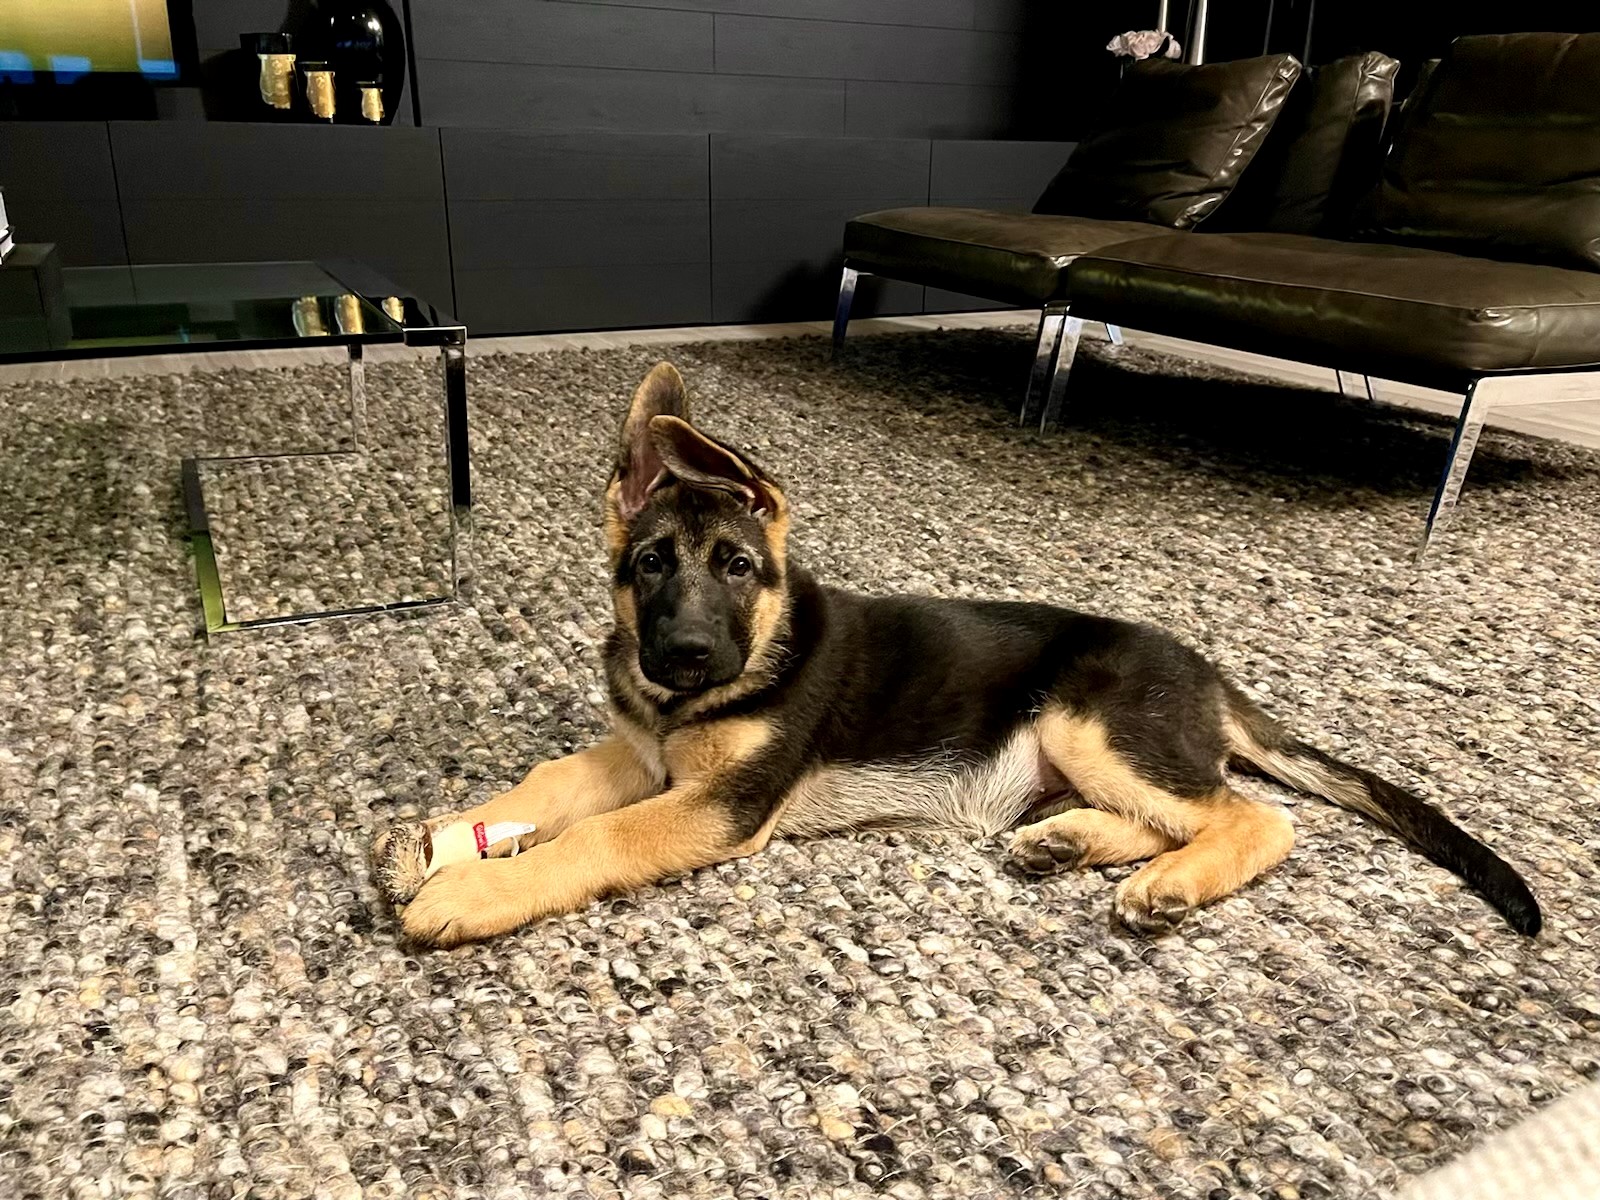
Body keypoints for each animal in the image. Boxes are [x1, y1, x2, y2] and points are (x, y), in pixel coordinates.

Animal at [371, 361, 1536, 947]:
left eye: (738, 565)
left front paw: (476, 888)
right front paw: (437, 839)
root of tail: (1208, 674)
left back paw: (1171, 883)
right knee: (1175, 811)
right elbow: (549, 781)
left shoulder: (719, 804)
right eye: (652, 563)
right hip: (1075, 749)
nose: (686, 659)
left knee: (1253, 816)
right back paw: (1066, 843)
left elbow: (595, 836)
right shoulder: (637, 750)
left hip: (1087, 713)